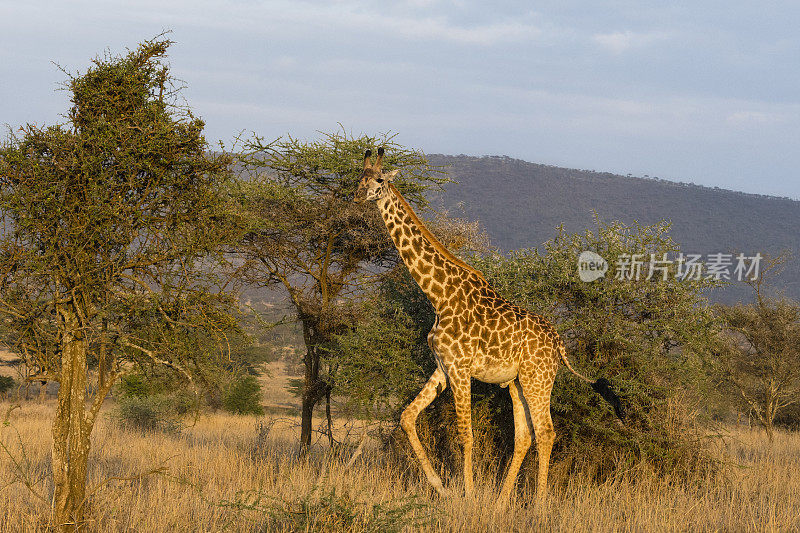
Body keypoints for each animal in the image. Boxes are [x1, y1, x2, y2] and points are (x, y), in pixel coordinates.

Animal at [356, 149, 624, 502]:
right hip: (518, 383)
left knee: (547, 432)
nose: (357, 197)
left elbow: (465, 434)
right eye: (358, 178)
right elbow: (407, 416)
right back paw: (499, 504)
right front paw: (442, 488)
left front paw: (467, 496)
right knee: (525, 435)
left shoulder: (460, 368)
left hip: (538, 379)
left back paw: (538, 506)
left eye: (378, 180)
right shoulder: (443, 366)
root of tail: (559, 344)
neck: (438, 295)